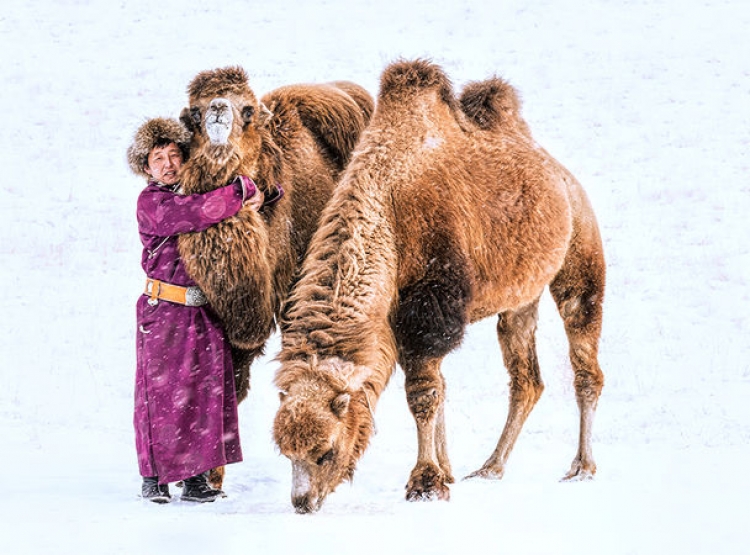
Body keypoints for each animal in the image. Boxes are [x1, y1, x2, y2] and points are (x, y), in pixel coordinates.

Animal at [274, 58, 608, 516]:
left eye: (324, 451)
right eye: (285, 451)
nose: (302, 502)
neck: (387, 214)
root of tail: (558, 172)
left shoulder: (428, 306)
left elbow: (423, 394)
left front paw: (425, 482)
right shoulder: (403, 319)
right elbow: (439, 390)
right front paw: (446, 472)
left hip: (580, 254)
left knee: (585, 360)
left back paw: (582, 467)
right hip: (520, 298)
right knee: (526, 378)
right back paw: (490, 467)